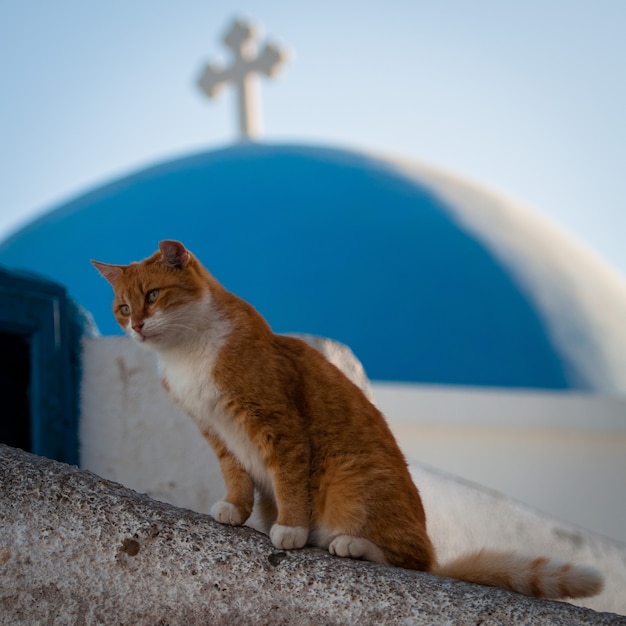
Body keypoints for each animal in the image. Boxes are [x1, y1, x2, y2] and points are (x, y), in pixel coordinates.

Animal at [90, 240, 604, 600]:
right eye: (123, 309)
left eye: (153, 295)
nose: (136, 326)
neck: (187, 356)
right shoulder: (216, 431)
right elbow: (236, 475)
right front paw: (235, 510)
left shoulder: (278, 423)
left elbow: (289, 480)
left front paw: (291, 529)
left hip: (349, 478)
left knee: (414, 560)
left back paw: (352, 545)